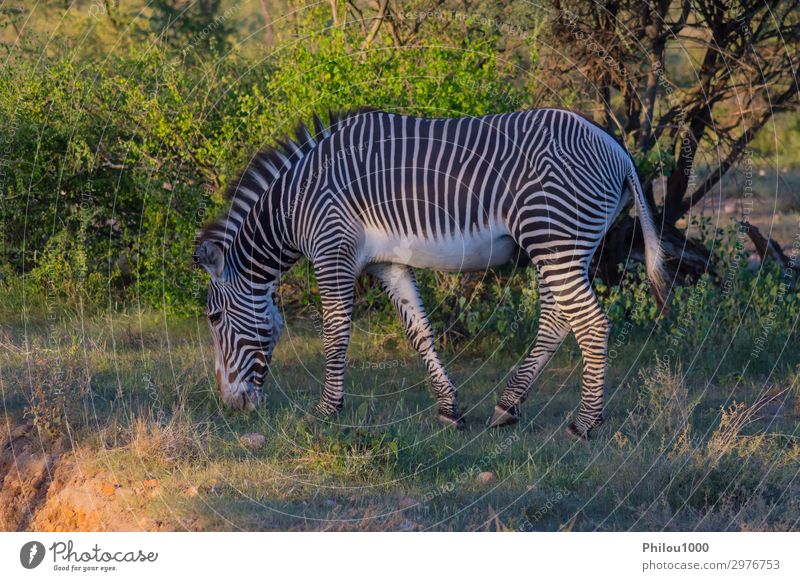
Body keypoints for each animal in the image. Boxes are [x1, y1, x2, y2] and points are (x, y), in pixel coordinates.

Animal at [195, 106, 668, 438]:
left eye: (214, 318)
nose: (230, 408)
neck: (296, 203)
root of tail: (617, 149)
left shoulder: (333, 251)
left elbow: (334, 335)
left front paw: (325, 411)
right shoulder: (389, 263)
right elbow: (418, 331)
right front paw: (448, 409)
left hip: (553, 239)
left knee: (590, 324)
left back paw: (584, 424)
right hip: (562, 246)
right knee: (557, 320)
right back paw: (508, 406)